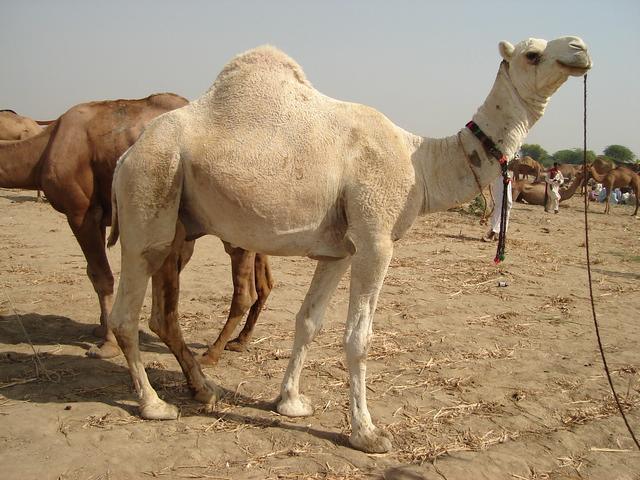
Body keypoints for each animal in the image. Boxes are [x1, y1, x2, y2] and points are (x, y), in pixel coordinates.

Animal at [0, 94, 273, 361]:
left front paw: (107, 345)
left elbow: (102, 276)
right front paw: (101, 327)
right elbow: (94, 273)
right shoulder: (100, 216)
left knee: (244, 291)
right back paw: (239, 342)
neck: (43, 151)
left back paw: (212, 353)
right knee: (263, 283)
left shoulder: (80, 212)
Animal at [106, 37, 591, 453]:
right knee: (125, 312)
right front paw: (367, 433)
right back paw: (155, 405)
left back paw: (205, 391)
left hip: (176, 223)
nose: (581, 49)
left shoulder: (339, 250)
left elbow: (308, 321)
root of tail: (126, 156)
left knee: (159, 311)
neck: (419, 162)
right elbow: (359, 337)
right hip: (149, 191)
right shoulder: (375, 241)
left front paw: (290, 402)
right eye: (531, 53)